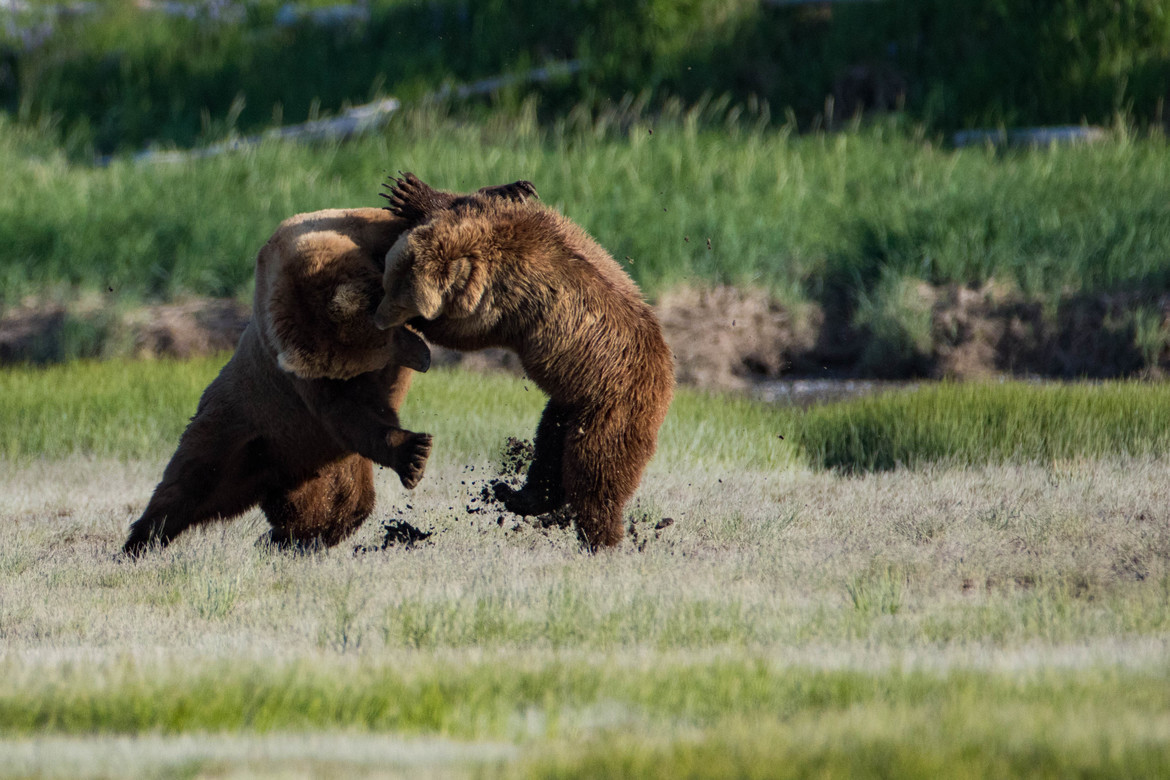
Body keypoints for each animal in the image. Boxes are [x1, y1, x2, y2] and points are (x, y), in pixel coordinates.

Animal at [374, 173, 675, 551]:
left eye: (399, 298)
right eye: (388, 279)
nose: (377, 317)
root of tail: (668, 373)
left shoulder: (507, 300)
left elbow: (466, 332)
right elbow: (470, 199)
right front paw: (408, 191)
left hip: (613, 406)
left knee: (595, 469)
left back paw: (601, 537)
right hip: (570, 404)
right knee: (549, 446)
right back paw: (517, 495)